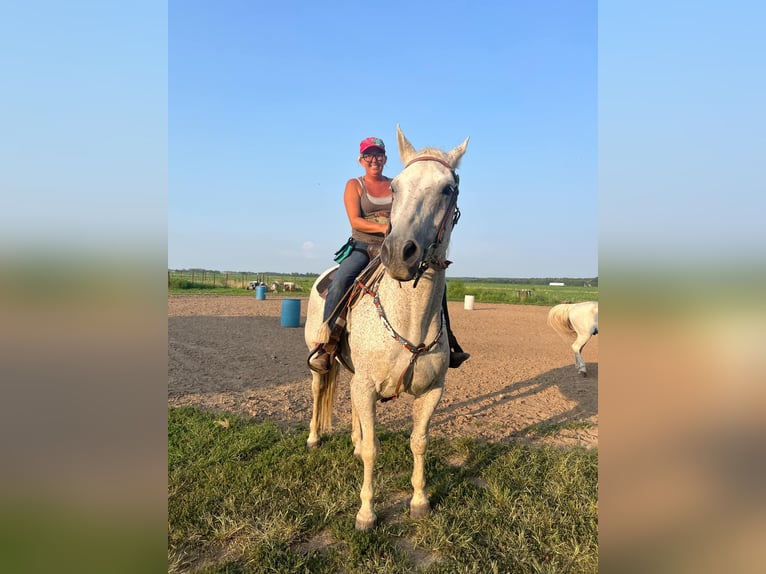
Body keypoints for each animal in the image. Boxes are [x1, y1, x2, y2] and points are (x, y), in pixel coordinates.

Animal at [306, 125, 468, 532]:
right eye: (395, 187)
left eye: (448, 188)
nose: (399, 253)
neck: (410, 318)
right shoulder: (366, 385)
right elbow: (373, 449)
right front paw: (366, 513)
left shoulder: (432, 391)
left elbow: (419, 441)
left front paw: (420, 501)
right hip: (321, 363)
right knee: (317, 389)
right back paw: (314, 438)